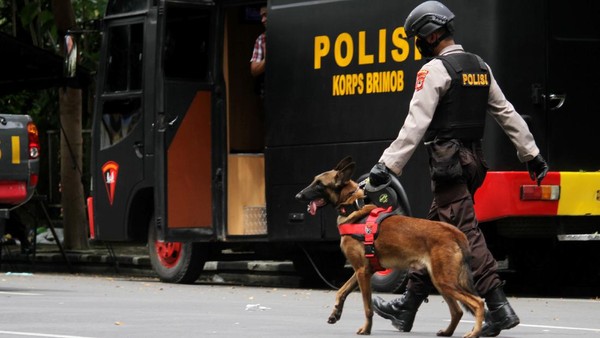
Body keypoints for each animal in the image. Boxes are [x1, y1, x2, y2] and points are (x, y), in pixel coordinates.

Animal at [298, 157, 486, 336]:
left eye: (319, 184)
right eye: (314, 181)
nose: (298, 196)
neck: (354, 209)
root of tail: (454, 232)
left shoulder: (362, 272)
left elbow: (367, 307)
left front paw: (366, 329)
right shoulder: (361, 270)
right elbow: (341, 291)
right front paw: (335, 313)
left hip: (445, 281)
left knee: (478, 303)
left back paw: (475, 332)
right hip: (441, 282)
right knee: (457, 311)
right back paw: (447, 332)